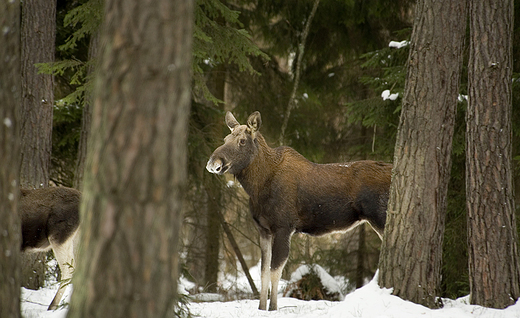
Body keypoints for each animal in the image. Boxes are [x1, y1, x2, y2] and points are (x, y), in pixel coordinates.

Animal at [206, 111, 390, 310]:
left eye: (241, 141)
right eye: (225, 139)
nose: (212, 163)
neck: (258, 187)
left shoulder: (284, 227)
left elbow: (275, 271)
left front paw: (273, 308)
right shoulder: (263, 229)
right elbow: (263, 272)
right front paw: (261, 308)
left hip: (380, 219)